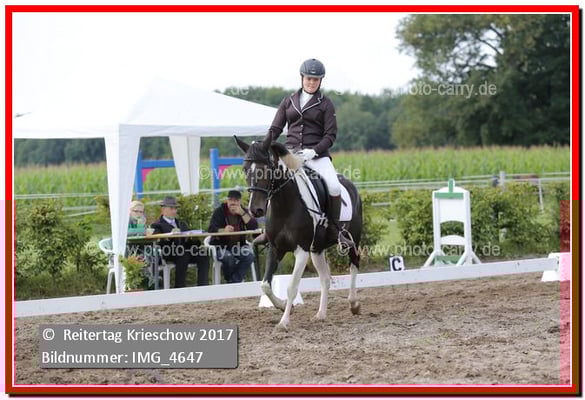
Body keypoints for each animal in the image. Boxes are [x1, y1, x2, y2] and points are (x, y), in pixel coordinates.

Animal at [235, 134, 362, 330]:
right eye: (245, 169)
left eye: (267, 169)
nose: (256, 210)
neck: (284, 206)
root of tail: (350, 184)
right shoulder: (275, 248)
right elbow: (265, 285)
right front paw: (281, 307)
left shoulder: (301, 250)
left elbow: (292, 287)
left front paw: (283, 322)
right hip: (317, 250)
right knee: (325, 279)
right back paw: (320, 314)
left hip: (352, 239)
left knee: (354, 264)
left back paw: (354, 304)